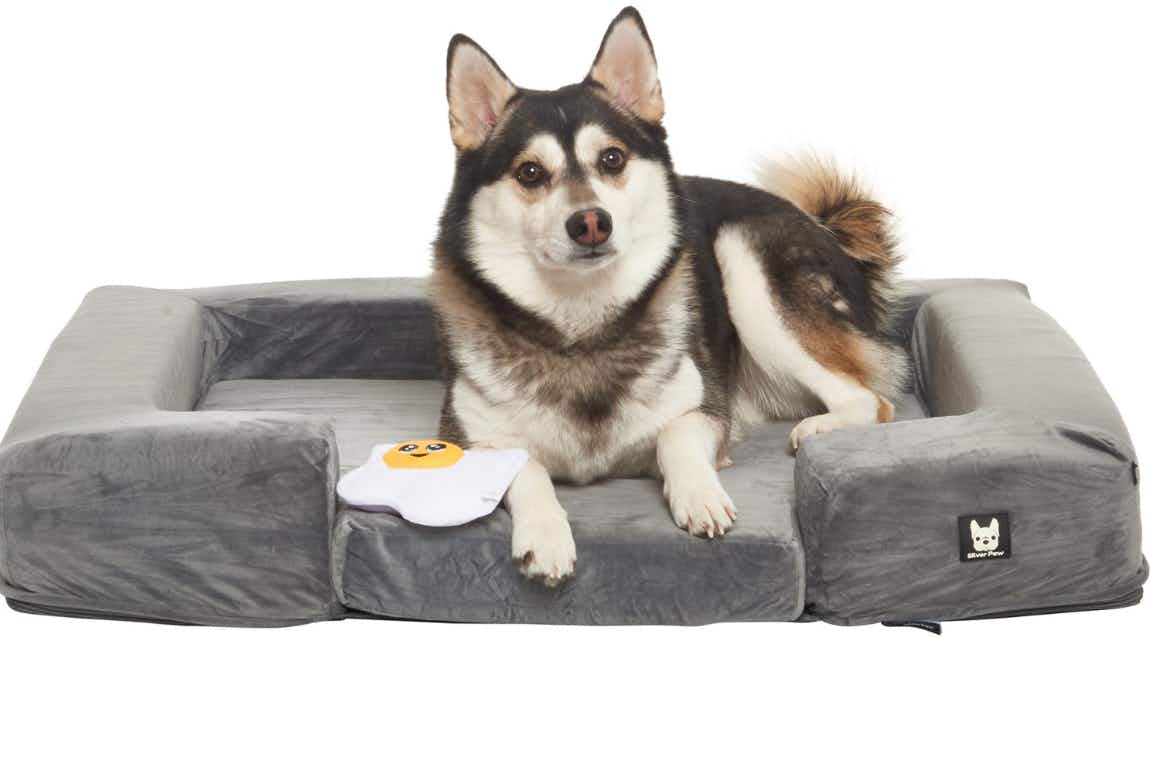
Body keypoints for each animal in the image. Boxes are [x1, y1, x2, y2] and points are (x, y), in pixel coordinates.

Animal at [432, 5, 906, 584]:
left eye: (612, 159)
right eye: (530, 172)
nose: (591, 223)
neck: (583, 326)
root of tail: (827, 232)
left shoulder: (706, 409)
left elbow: (672, 437)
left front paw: (699, 494)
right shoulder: (470, 442)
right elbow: (526, 470)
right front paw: (544, 535)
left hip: (744, 259)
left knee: (871, 399)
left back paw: (820, 427)